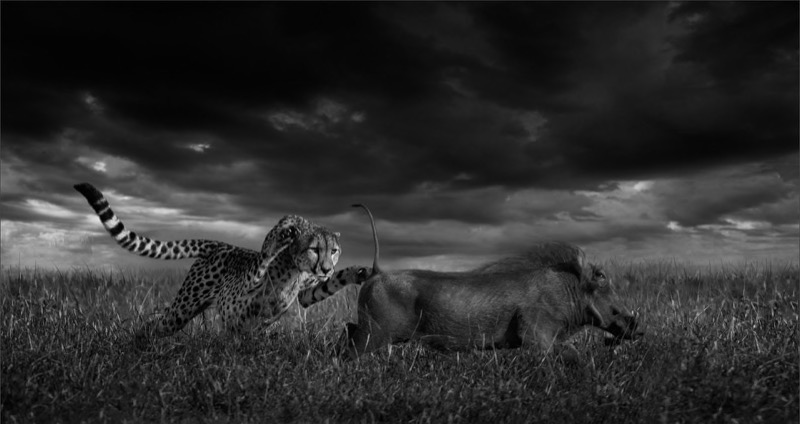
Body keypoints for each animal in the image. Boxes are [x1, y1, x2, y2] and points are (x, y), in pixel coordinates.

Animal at [74, 182, 360, 345]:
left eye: (334, 251)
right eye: (314, 249)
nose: (326, 268)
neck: (294, 268)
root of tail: (218, 244)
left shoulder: (305, 292)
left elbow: (322, 289)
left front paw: (356, 272)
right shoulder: (243, 289)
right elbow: (266, 252)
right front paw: (287, 226)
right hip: (184, 307)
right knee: (157, 323)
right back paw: (135, 344)